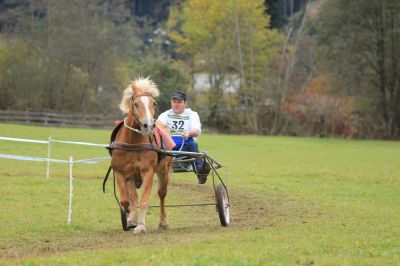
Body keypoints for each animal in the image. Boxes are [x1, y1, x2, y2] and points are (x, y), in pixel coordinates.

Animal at [109, 78, 172, 234]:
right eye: (136, 104)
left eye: (153, 103)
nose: (148, 125)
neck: (133, 142)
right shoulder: (121, 171)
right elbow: (126, 200)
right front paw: (130, 219)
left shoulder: (148, 171)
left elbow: (144, 201)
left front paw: (141, 226)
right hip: (131, 176)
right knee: (133, 197)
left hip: (164, 171)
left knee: (162, 194)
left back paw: (163, 222)